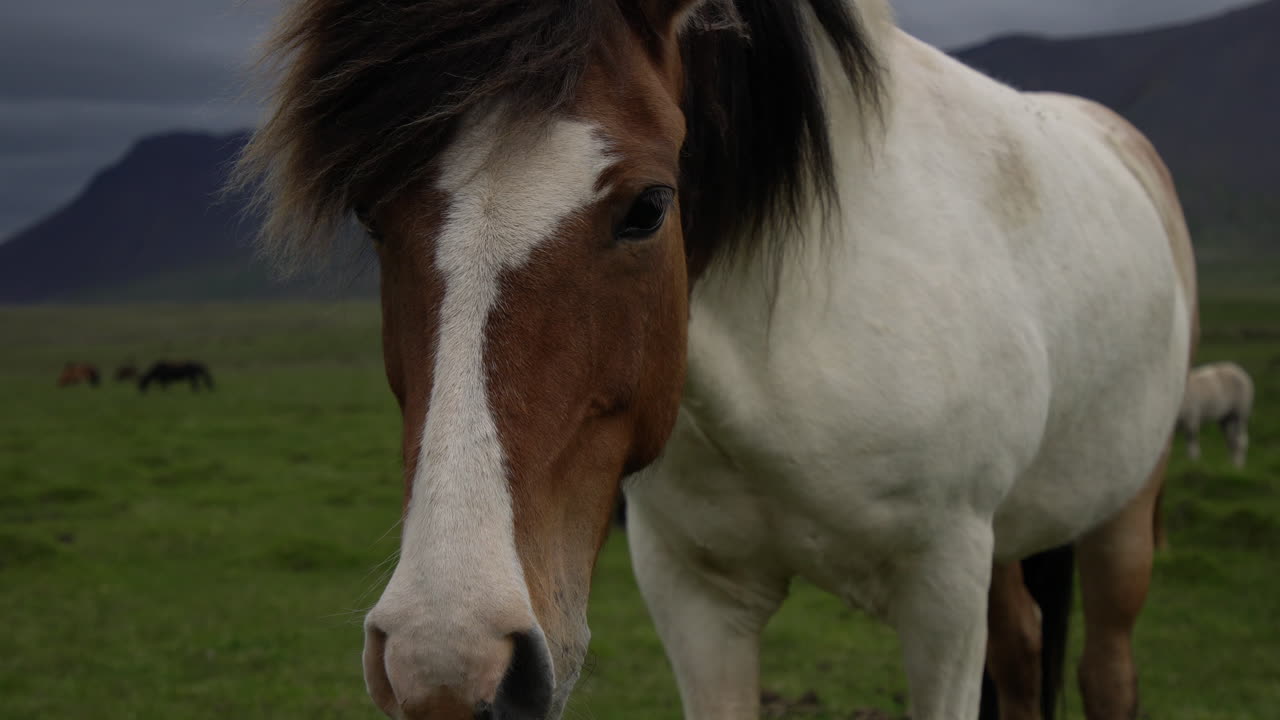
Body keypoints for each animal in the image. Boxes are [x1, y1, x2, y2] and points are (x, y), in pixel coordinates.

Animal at [237, 2, 1198, 719]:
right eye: (368, 212)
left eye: (649, 207)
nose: (445, 661)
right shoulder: (696, 599)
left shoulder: (943, 594)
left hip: (1120, 516)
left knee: (1105, 672)